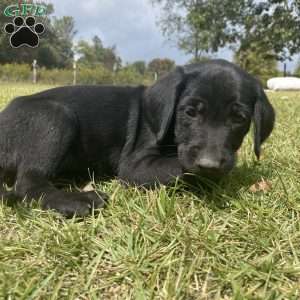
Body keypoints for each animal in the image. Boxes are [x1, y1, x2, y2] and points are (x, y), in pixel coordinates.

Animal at [0, 59, 274, 217]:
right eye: (190, 112)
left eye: (239, 118)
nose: (210, 164)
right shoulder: (136, 166)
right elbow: (179, 166)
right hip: (55, 116)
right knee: (28, 184)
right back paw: (77, 199)